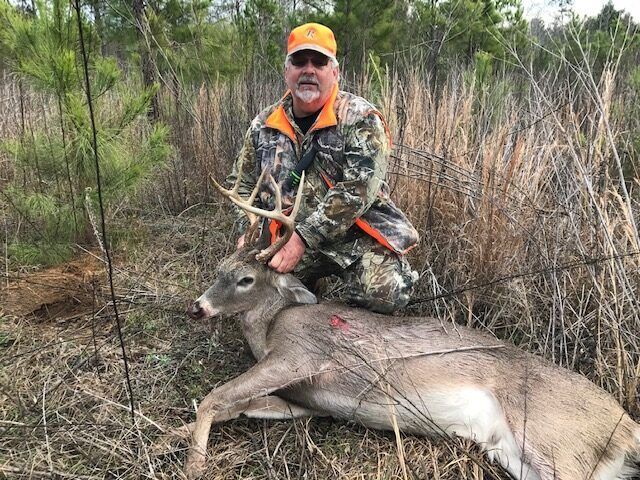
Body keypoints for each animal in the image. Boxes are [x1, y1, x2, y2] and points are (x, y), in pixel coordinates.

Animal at [182, 168, 640, 480]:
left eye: (246, 279)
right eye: (218, 270)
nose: (197, 308)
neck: (271, 324)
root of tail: (627, 427)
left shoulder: (300, 355)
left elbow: (214, 397)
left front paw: (194, 462)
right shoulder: (305, 401)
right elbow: (236, 406)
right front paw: (181, 434)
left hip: (555, 441)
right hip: (518, 455)